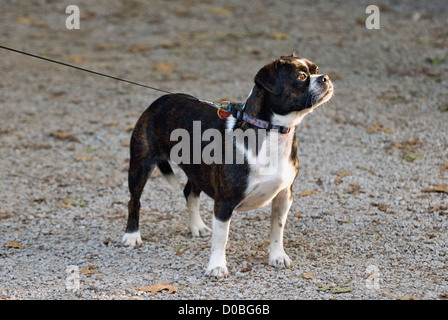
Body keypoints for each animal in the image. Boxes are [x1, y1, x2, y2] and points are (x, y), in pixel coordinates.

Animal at [121, 54, 332, 278]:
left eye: (317, 70)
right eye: (301, 77)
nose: (325, 78)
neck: (272, 134)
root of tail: (160, 101)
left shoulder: (284, 196)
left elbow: (277, 228)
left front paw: (277, 256)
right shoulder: (224, 203)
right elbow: (221, 238)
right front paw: (217, 266)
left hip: (197, 170)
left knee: (190, 193)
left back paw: (197, 226)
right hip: (140, 166)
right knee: (134, 200)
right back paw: (132, 235)